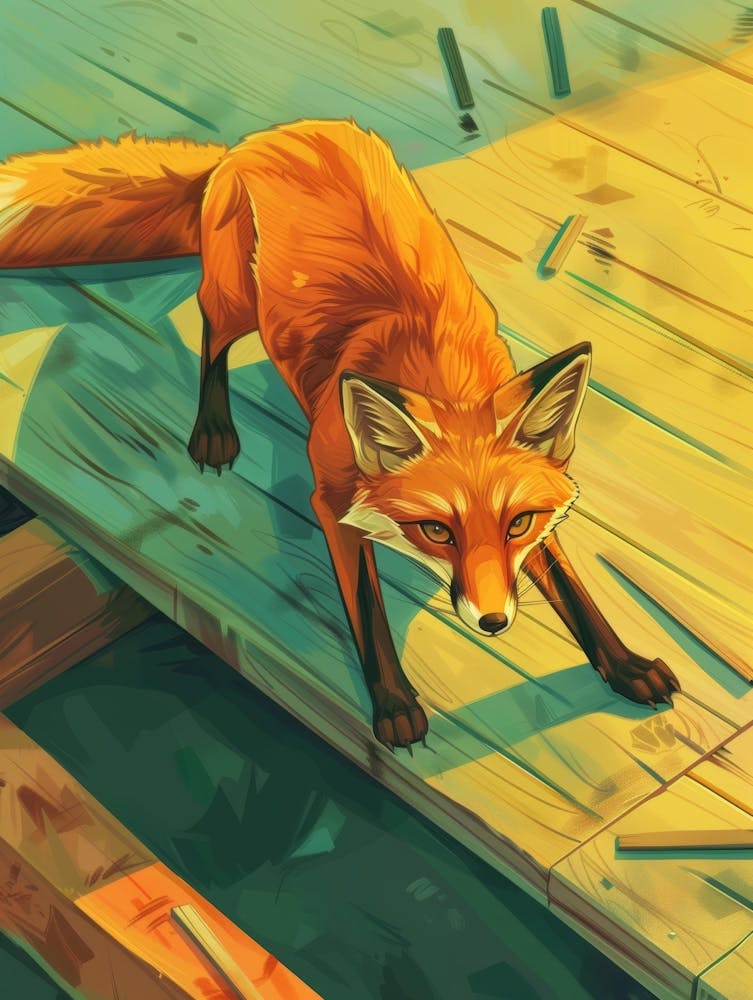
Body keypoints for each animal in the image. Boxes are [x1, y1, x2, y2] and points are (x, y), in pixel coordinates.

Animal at [0, 118, 680, 749]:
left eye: (517, 524)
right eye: (437, 531)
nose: (491, 623)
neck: (437, 370)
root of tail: (256, 140)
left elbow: (572, 590)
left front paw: (624, 666)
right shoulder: (331, 501)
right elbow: (368, 612)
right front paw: (395, 706)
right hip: (236, 300)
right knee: (211, 336)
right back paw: (214, 428)